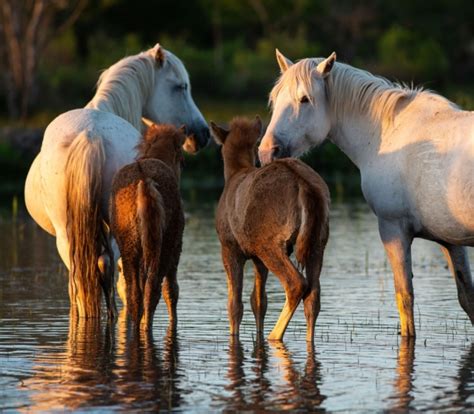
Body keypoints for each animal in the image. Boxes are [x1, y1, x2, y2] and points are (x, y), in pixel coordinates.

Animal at [260, 50, 474, 338]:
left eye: (304, 99)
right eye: (275, 99)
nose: (266, 152)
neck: (388, 135)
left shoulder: (393, 229)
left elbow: (405, 301)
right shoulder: (450, 240)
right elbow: (467, 299)